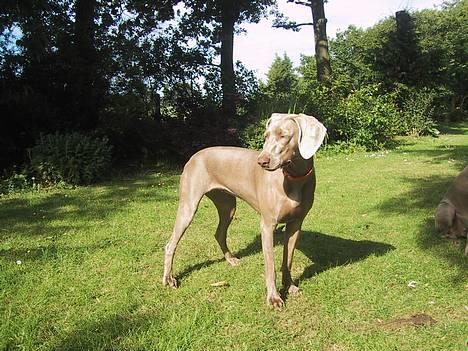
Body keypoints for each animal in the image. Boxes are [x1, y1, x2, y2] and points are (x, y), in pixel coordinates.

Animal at [163, 113, 328, 308]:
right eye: (266, 136)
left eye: (283, 135)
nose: (261, 161)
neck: (294, 177)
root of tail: (194, 156)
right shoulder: (267, 225)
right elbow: (270, 265)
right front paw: (273, 297)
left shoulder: (296, 224)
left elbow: (288, 260)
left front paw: (290, 287)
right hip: (189, 206)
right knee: (170, 244)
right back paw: (169, 278)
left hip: (228, 206)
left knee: (219, 233)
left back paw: (231, 259)